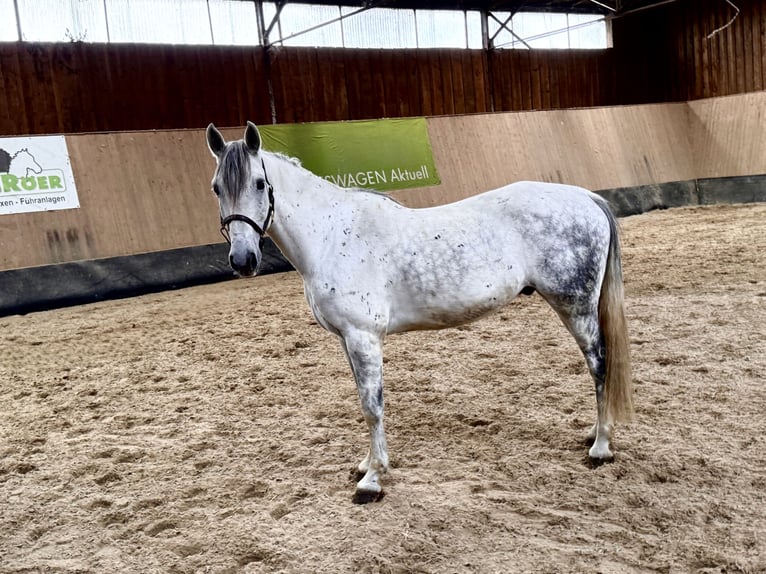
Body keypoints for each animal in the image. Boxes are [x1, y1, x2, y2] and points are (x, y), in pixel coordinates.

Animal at [205, 121, 633, 500]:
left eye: (260, 184)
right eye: (216, 188)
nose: (243, 260)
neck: (330, 234)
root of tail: (586, 197)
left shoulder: (363, 337)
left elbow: (372, 406)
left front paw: (373, 480)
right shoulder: (348, 340)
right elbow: (364, 401)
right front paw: (367, 464)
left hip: (575, 307)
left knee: (599, 364)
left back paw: (600, 446)